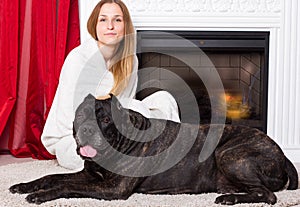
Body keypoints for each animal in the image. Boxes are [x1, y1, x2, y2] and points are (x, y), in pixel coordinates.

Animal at [9, 94, 298, 205]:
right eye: (80, 116)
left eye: (105, 120)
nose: (88, 130)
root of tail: (282, 154)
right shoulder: (91, 175)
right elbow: (52, 176)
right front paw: (24, 185)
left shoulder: (112, 189)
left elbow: (66, 185)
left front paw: (41, 195)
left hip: (228, 154)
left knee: (268, 195)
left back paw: (230, 198)